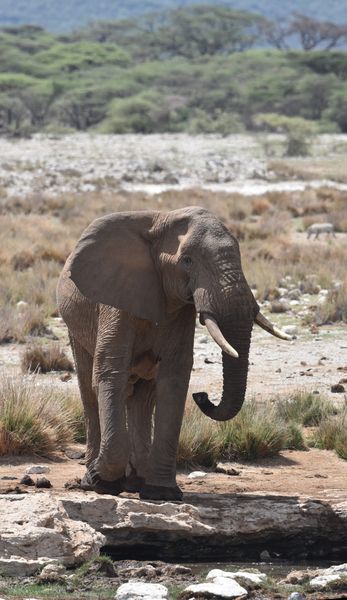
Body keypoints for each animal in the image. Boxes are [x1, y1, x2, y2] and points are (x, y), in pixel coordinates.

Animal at [57, 206, 290, 502]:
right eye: (187, 261)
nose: (202, 396)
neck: (160, 221)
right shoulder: (116, 299)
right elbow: (111, 371)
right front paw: (102, 482)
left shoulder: (181, 309)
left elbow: (174, 379)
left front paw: (161, 493)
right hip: (75, 325)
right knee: (89, 387)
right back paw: (92, 480)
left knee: (142, 397)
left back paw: (136, 481)